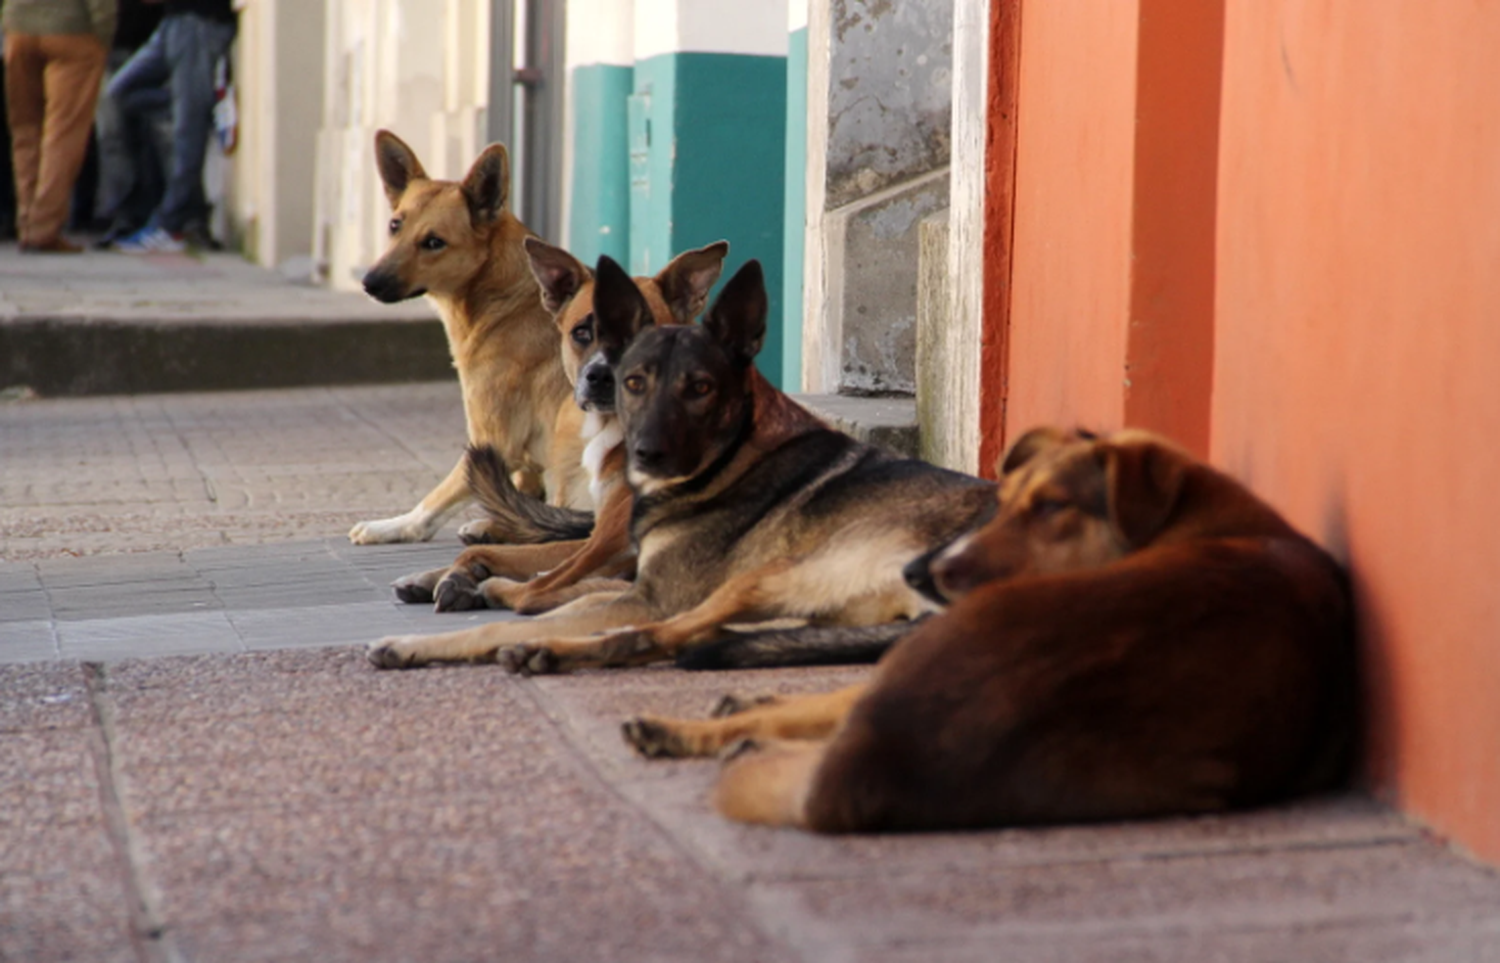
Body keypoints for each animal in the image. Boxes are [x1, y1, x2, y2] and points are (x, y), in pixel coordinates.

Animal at [351, 131, 585, 543]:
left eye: (434, 242)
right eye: (395, 225)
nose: (369, 282)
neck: (502, 296)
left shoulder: (491, 441)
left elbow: (433, 501)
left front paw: (390, 526)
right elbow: (522, 496)